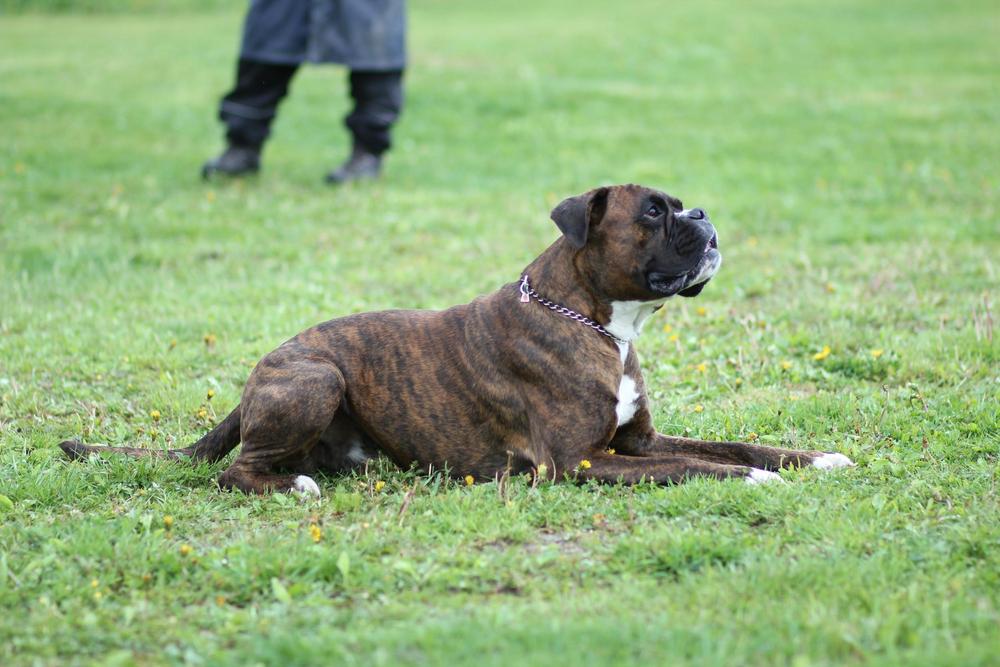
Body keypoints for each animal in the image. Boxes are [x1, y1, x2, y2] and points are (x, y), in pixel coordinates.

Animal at [60, 184, 853, 495]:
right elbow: (697, 465)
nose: (703, 214)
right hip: (317, 376)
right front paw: (757, 481)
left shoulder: (637, 442)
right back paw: (296, 486)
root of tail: (261, 370)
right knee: (235, 470)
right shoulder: (581, 462)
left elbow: (734, 444)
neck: (598, 320)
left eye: (678, 203)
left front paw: (814, 458)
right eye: (654, 213)